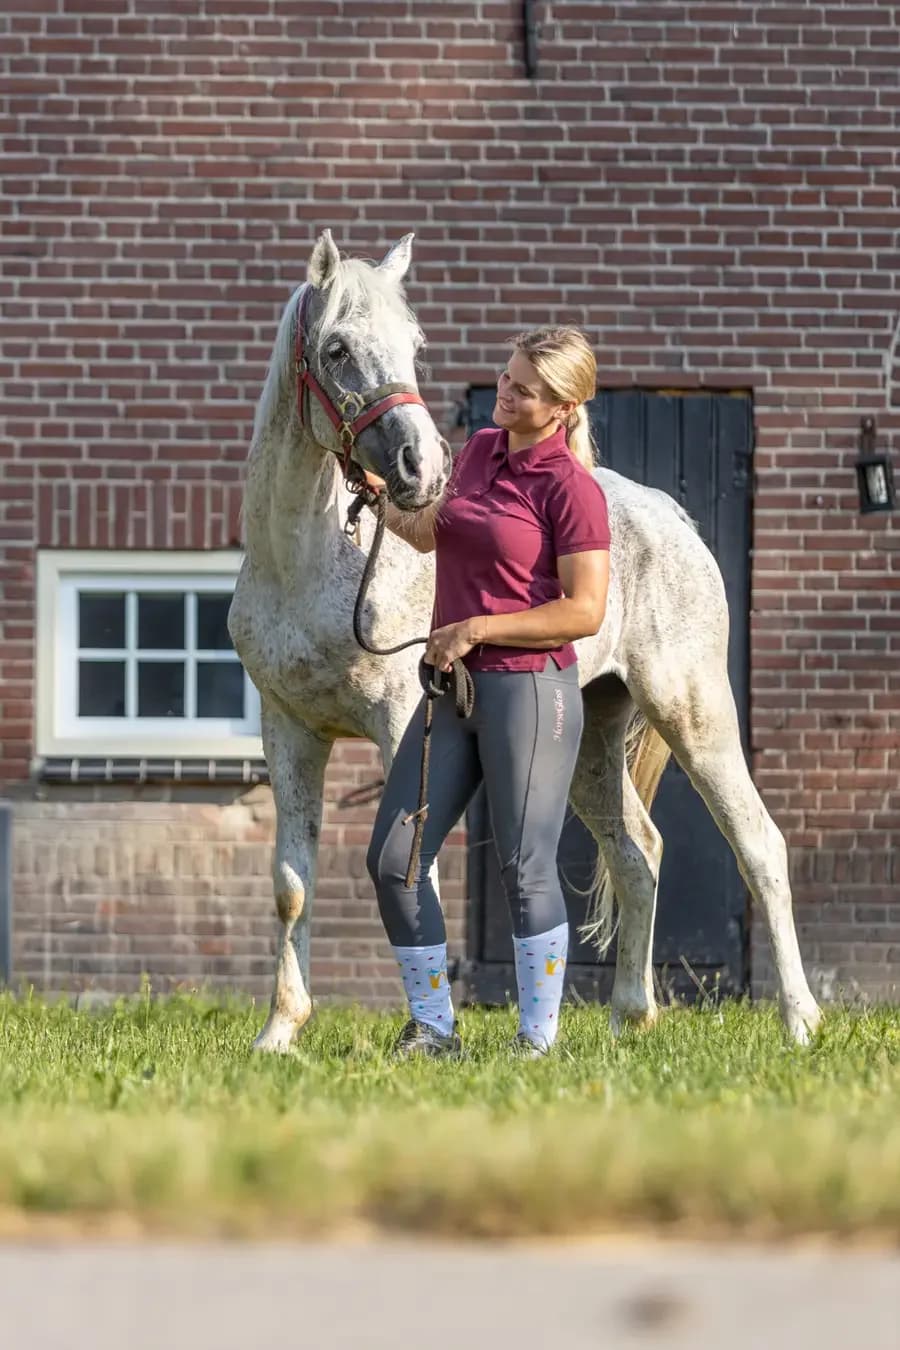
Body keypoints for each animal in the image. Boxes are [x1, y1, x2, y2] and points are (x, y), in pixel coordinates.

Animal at [228, 229, 823, 1053]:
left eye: (414, 344)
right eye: (338, 348)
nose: (421, 467)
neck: (311, 564)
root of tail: (671, 515)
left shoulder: (402, 725)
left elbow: (417, 873)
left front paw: (425, 1031)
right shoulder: (288, 730)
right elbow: (292, 886)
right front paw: (280, 1032)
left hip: (695, 714)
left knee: (759, 845)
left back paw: (800, 1020)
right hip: (592, 740)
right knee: (637, 852)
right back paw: (628, 1017)